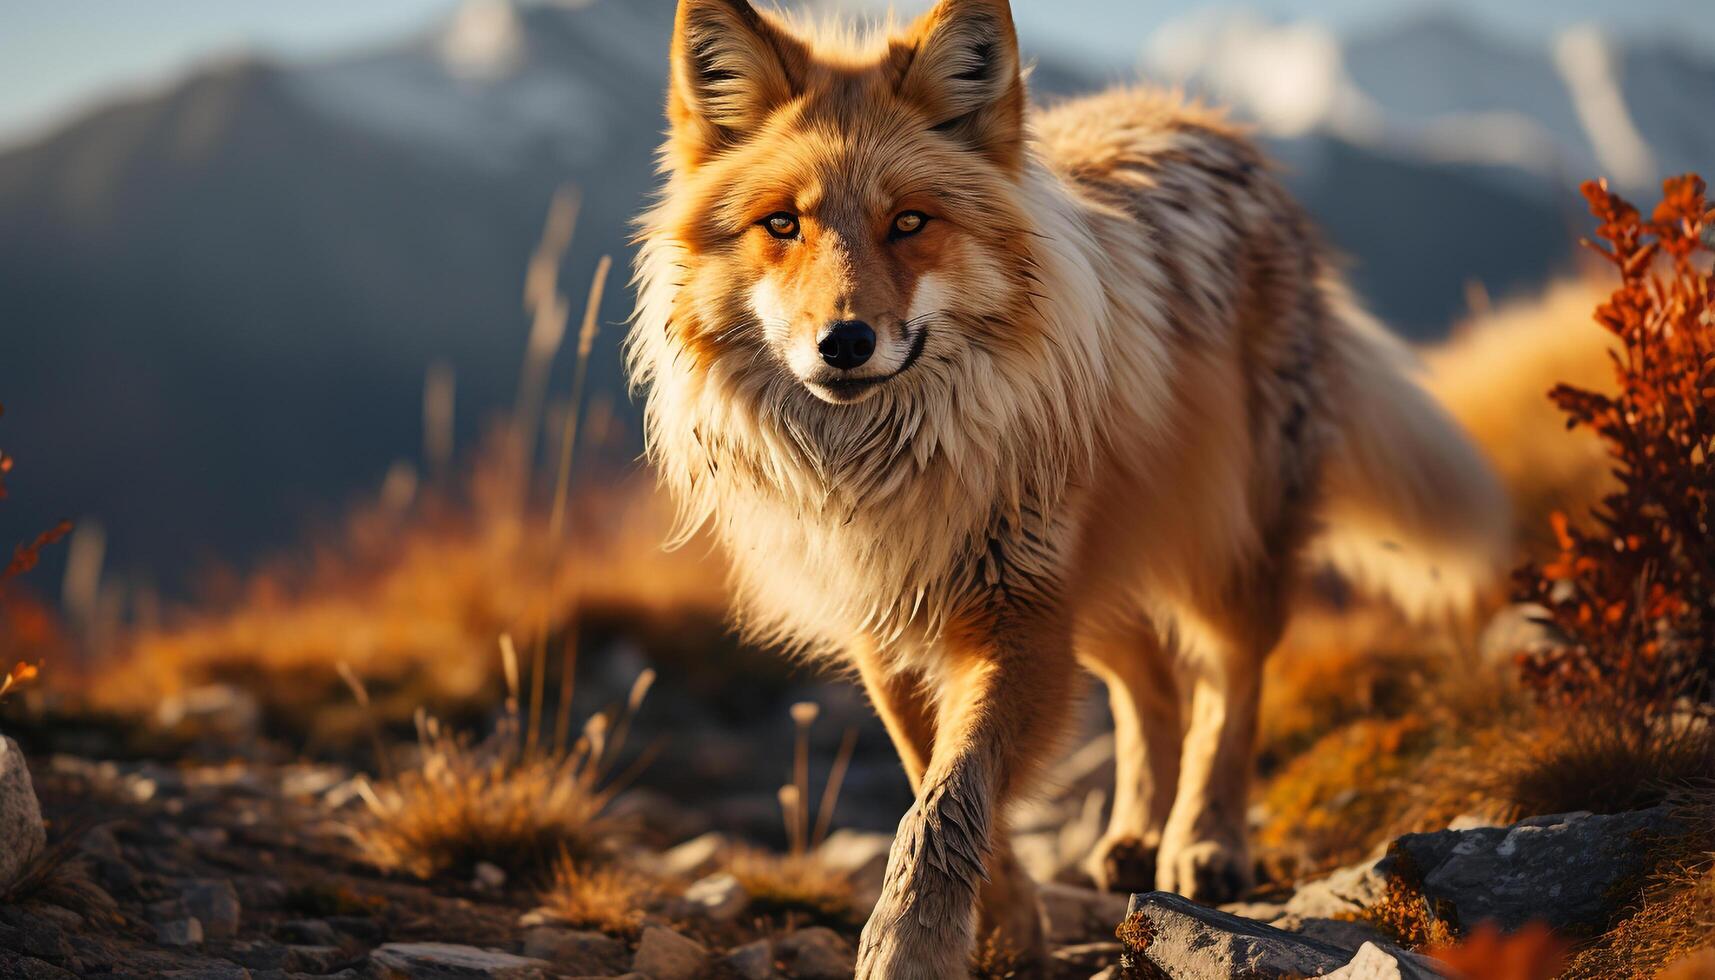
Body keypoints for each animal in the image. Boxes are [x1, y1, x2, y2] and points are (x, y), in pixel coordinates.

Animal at [624, 3, 1509, 974]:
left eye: (909, 222)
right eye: (782, 225)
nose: (845, 343)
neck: (888, 472)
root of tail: (1200, 119)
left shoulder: (1016, 618)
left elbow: (946, 805)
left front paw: (911, 943)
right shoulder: (893, 634)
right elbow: (942, 785)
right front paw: (1005, 929)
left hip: (1223, 546)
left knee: (1229, 683)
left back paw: (1205, 838)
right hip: (1094, 586)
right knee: (1152, 685)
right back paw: (1135, 834)